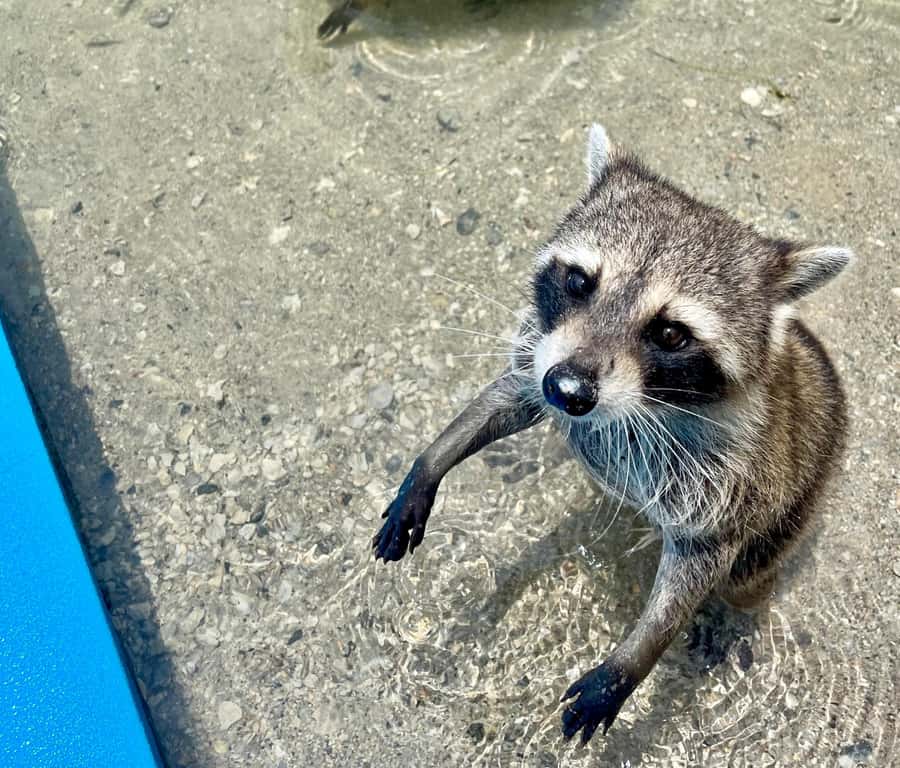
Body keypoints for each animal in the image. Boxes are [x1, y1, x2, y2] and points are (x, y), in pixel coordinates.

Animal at [373, 124, 852, 744]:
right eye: (579, 281)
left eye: (671, 333)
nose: (570, 391)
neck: (642, 404)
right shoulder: (544, 354)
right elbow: (506, 400)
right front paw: (431, 463)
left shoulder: (729, 477)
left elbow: (697, 566)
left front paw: (632, 658)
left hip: (796, 501)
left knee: (749, 573)